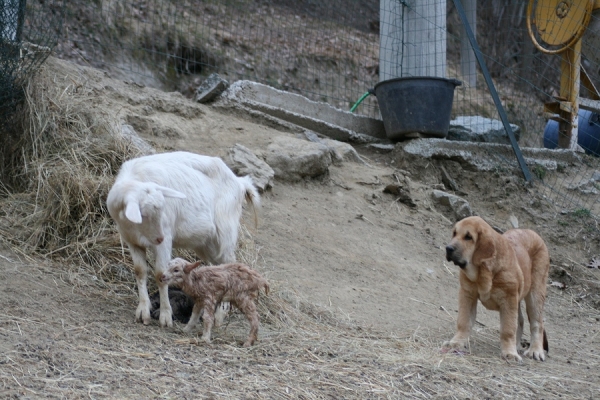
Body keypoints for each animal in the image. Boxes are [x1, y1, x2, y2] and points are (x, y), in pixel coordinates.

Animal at [106, 152, 258, 326]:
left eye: (162, 211)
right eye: (143, 213)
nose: (159, 238)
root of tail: (241, 182)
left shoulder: (165, 241)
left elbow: (160, 274)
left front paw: (165, 316)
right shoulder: (132, 241)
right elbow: (140, 271)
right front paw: (143, 311)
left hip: (225, 236)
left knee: (230, 265)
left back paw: (220, 316)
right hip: (207, 245)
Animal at [446, 217, 548, 360]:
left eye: (468, 237)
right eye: (454, 233)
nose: (448, 248)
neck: (483, 271)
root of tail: (532, 232)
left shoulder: (508, 300)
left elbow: (508, 329)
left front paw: (510, 353)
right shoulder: (467, 294)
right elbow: (463, 321)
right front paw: (456, 342)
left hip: (535, 295)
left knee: (537, 323)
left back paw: (535, 350)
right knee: (520, 320)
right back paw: (516, 345)